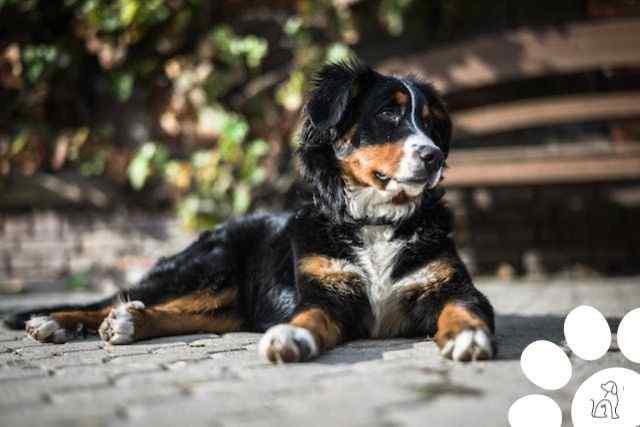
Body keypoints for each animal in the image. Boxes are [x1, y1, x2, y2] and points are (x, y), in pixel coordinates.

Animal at [2, 60, 498, 364]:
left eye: (432, 123)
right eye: (389, 115)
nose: (434, 156)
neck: (376, 222)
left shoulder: (452, 286)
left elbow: (463, 308)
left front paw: (467, 336)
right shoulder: (325, 294)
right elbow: (308, 317)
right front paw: (291, 337)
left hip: (225, 300)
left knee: (172, 312)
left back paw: (129, 322)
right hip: (208, 267)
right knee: (114, 299)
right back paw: (55, 322)